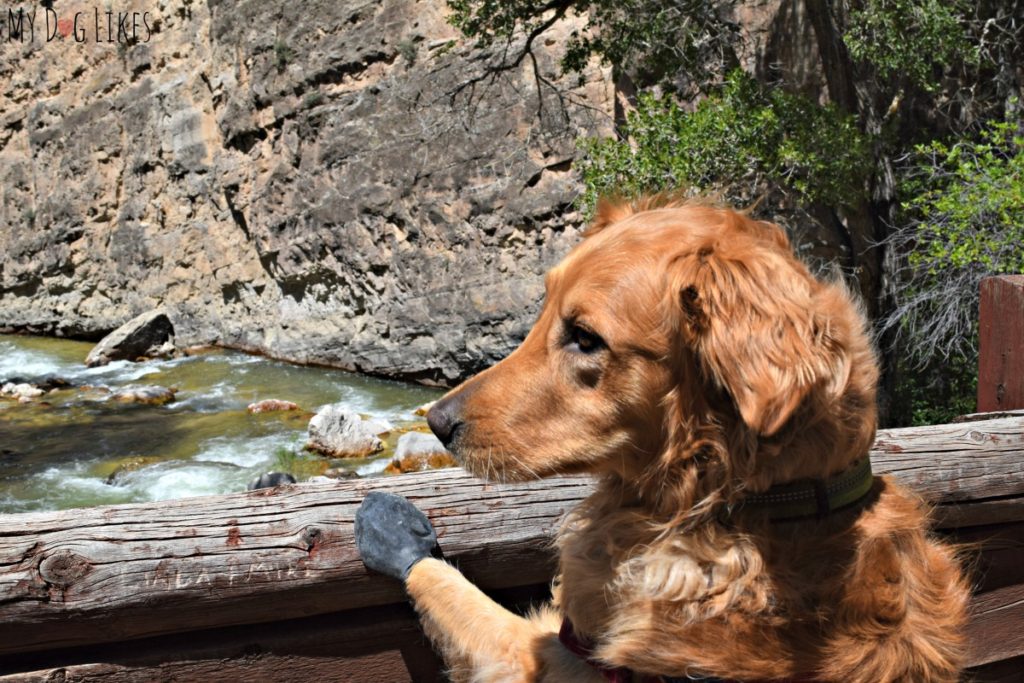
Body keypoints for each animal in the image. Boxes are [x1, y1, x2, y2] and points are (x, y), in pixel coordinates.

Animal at [403, 194, 962, 679]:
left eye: (584, 338)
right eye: (543, 312)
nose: (437, 422)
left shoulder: (539, 657)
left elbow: (455, 590)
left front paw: (398, 531)